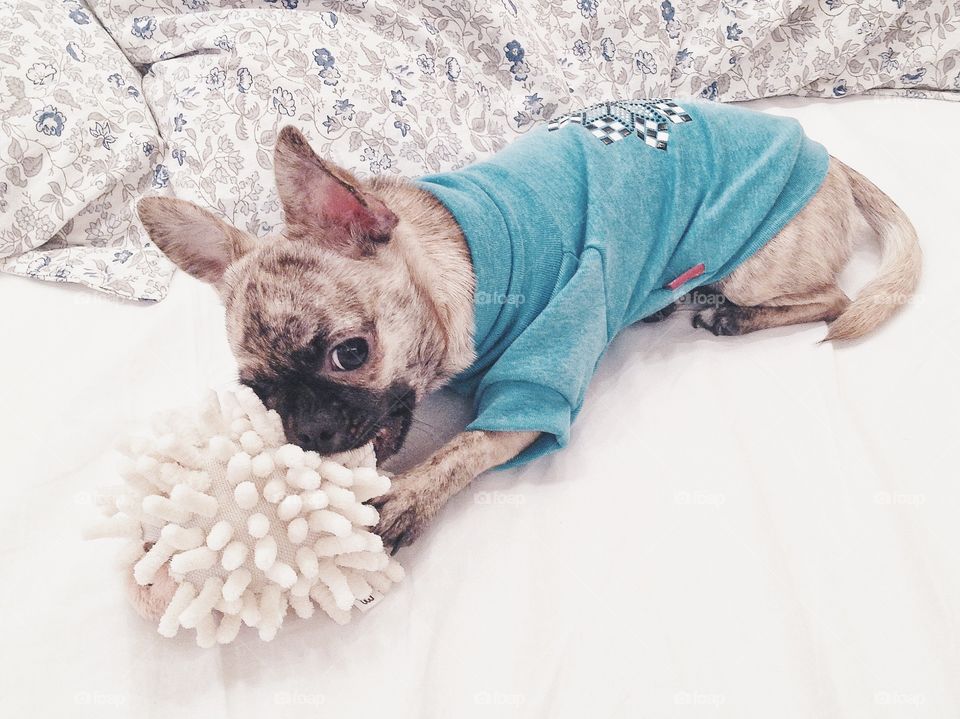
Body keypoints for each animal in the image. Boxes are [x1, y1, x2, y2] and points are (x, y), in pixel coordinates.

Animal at [137, 98, 924, 556]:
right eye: (259, 396)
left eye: (349, 353)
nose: (310, 432)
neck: (463, 262)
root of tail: (826, 158)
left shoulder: (531, 395)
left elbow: (462, 448)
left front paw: (403, 499)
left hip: (757, 263)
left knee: (830, 299)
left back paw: (733, 313)